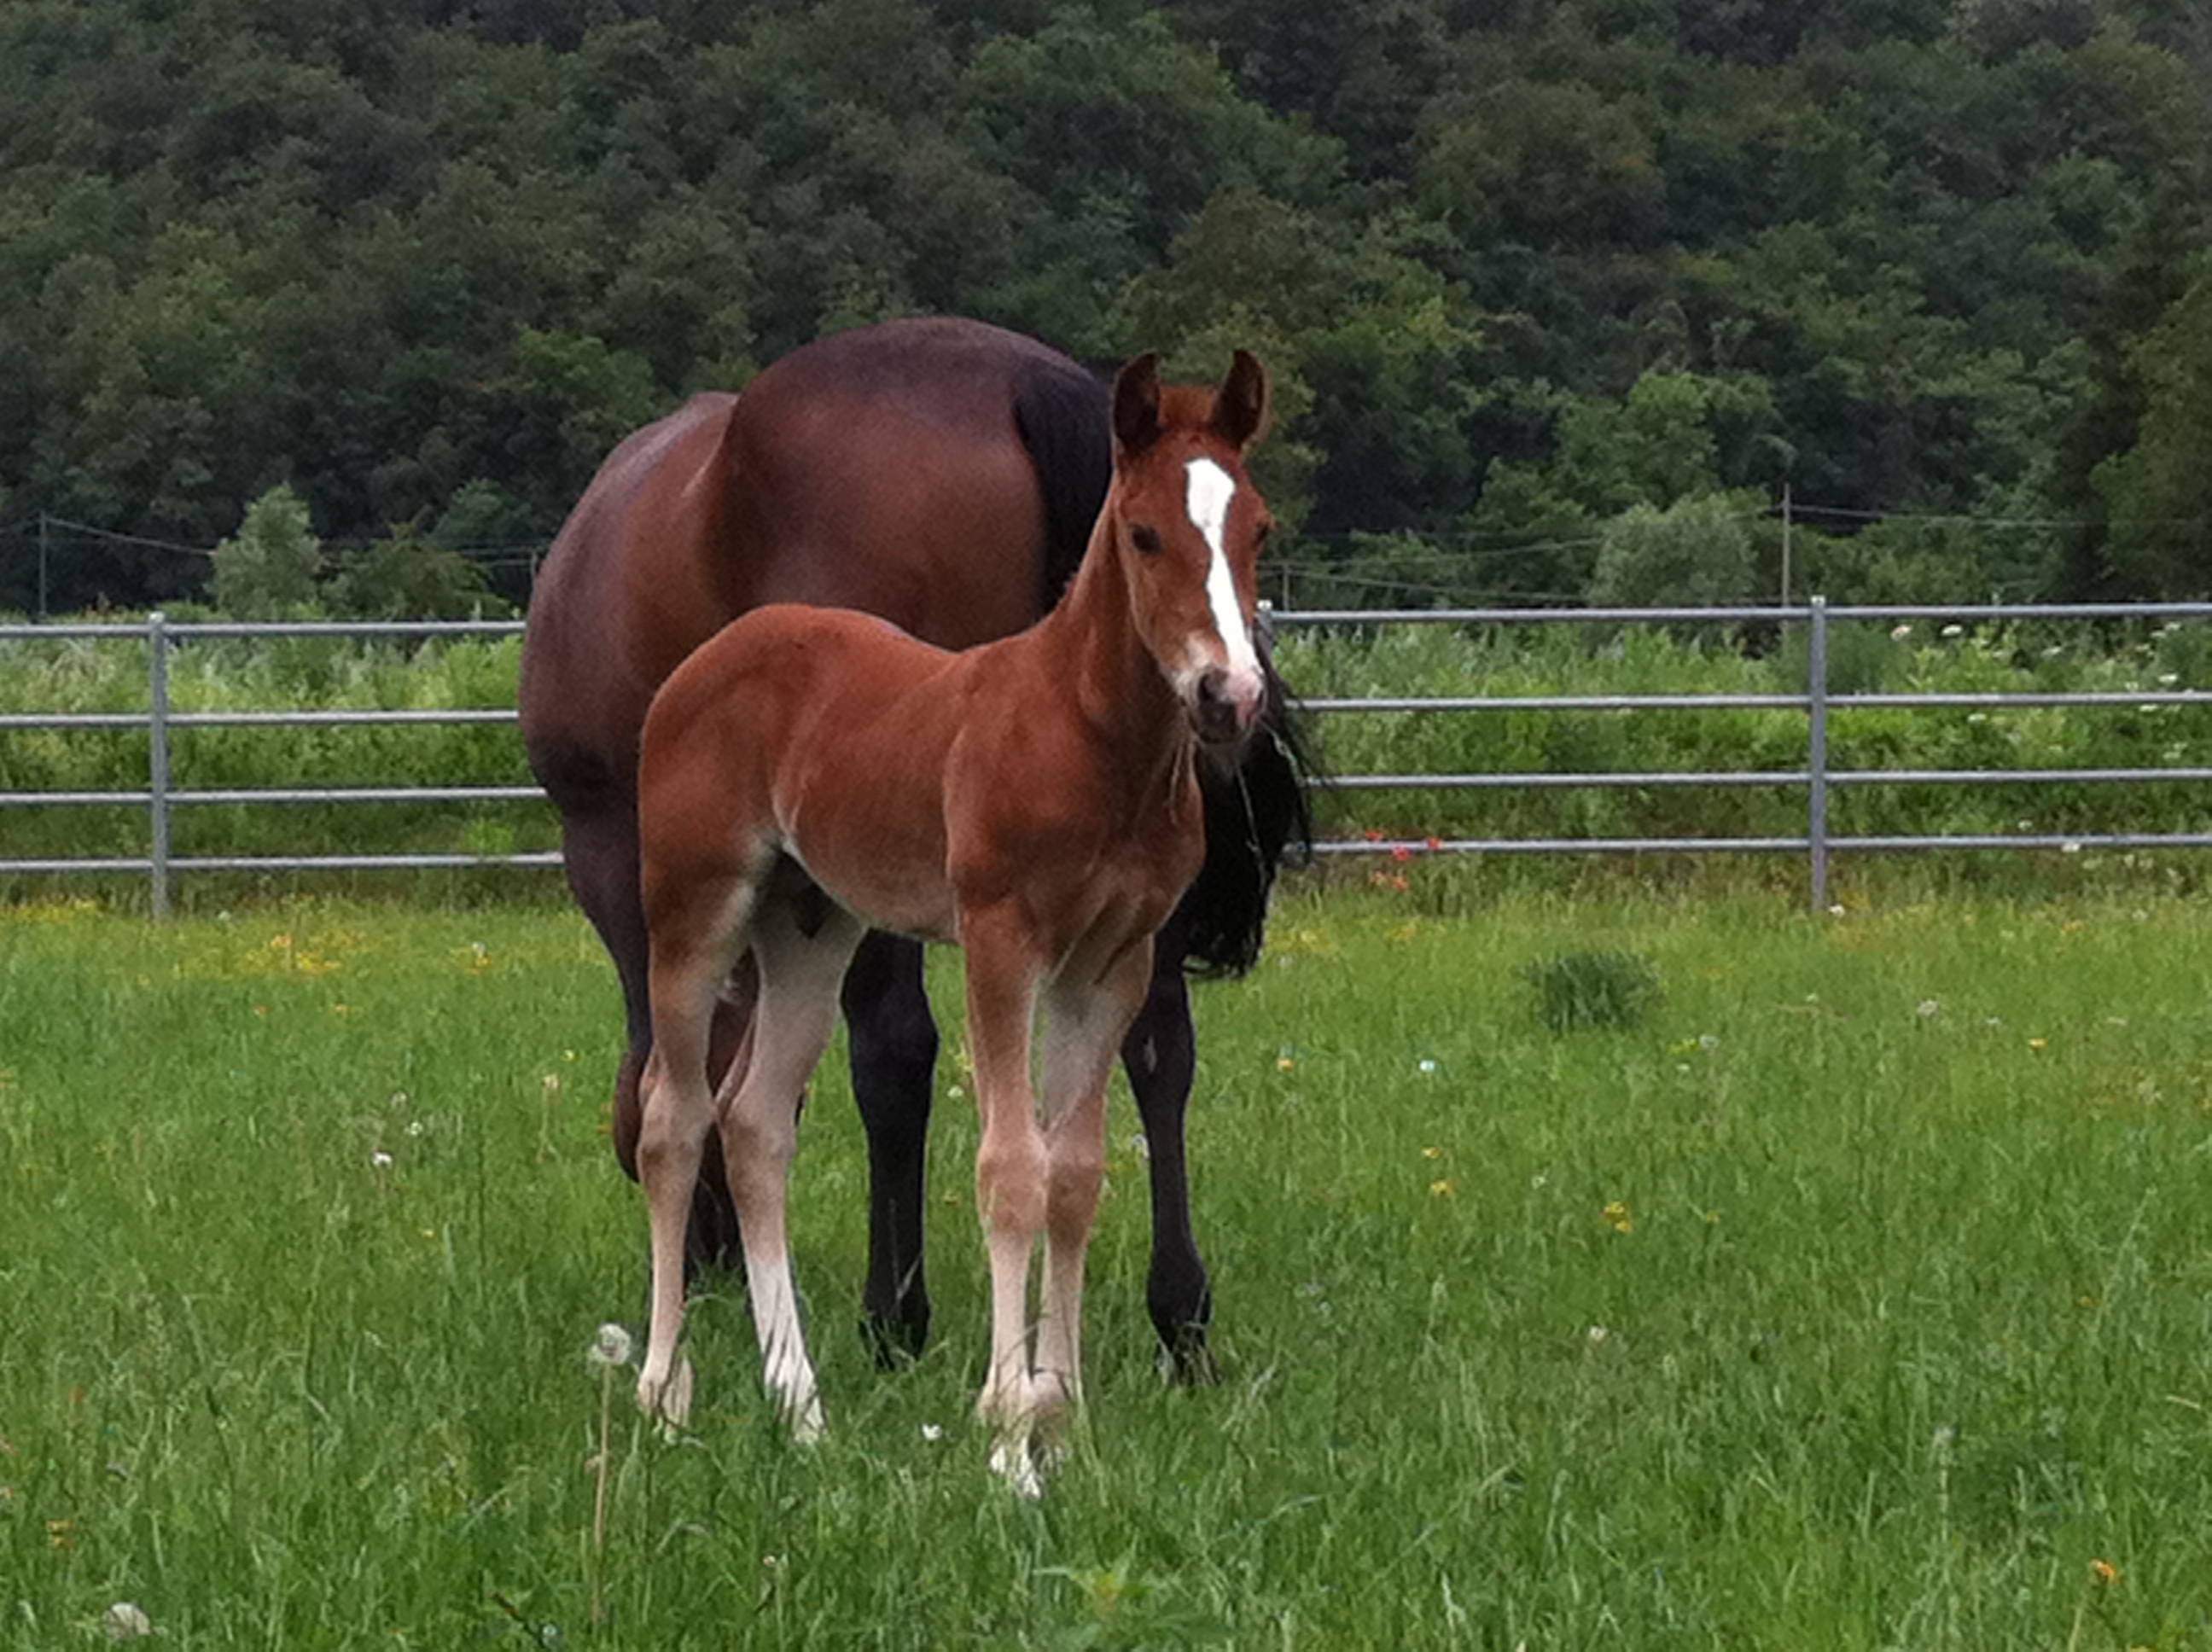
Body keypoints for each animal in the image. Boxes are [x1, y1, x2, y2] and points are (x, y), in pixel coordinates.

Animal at [518, 318, 1307, 1379]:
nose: (711, 1263)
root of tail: (1015, 380)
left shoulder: (612, 851)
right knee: (1158, 1045)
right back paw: (1180, 1319)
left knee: (894, 1050)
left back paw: (892, 1315)